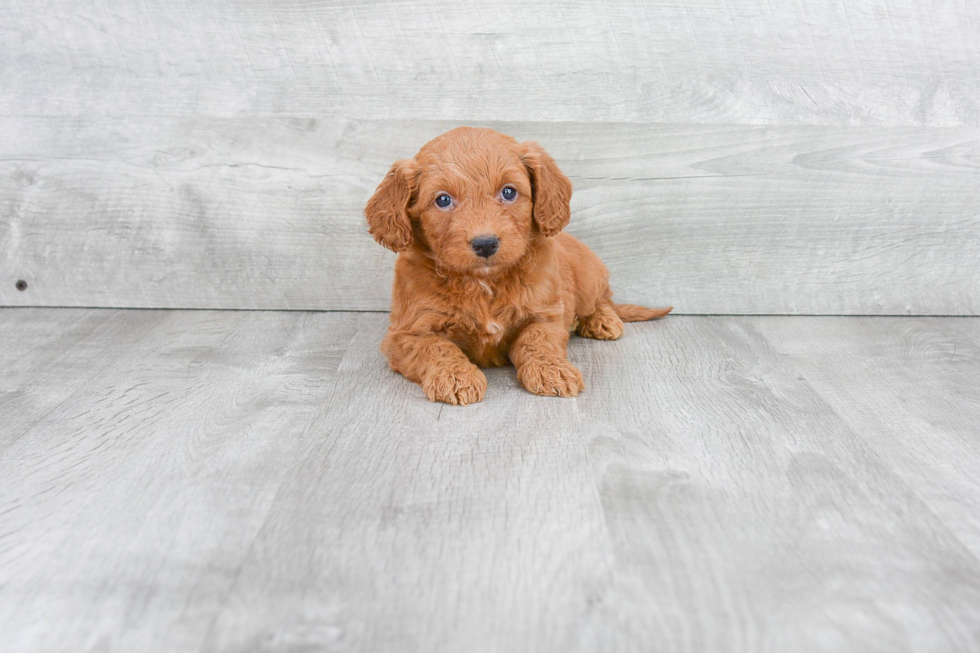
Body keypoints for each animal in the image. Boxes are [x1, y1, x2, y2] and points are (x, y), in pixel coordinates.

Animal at [364, 126, 668, 402]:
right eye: (443, 200)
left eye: (508, 192)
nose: (485, 243)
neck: (484, 282)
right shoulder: (406, 334)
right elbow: (437, 347)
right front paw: (456, 376)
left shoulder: (545, 315)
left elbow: (537, 341)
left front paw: (551, 370)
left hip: (589, 276)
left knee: (602, 299)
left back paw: (602, 319)